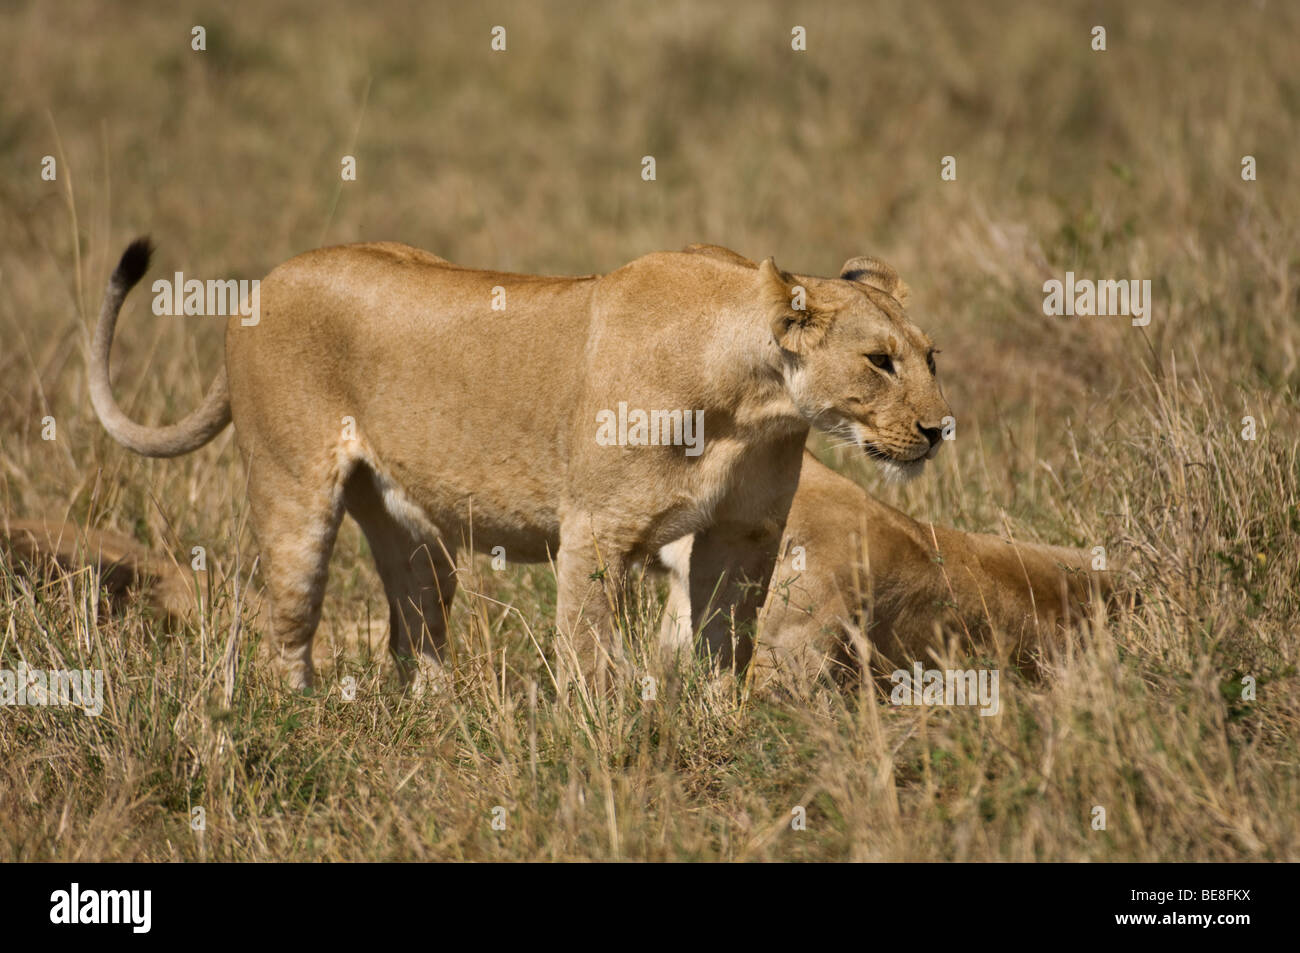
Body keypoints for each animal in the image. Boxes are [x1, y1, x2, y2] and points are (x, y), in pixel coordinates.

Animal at [89, 238, 949, 691]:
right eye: (879, 361)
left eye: (930, 356)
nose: (939, 429)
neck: (753, 401)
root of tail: (262, 282)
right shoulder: (597, 529)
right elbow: (588, 647)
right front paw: (599, 740)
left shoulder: (746, 536)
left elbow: (723, 639)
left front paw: (716, 721)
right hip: (293, 493)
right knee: (290, 623)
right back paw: (305, 713)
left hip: (412, 528)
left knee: (416, 627)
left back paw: (435, 710)